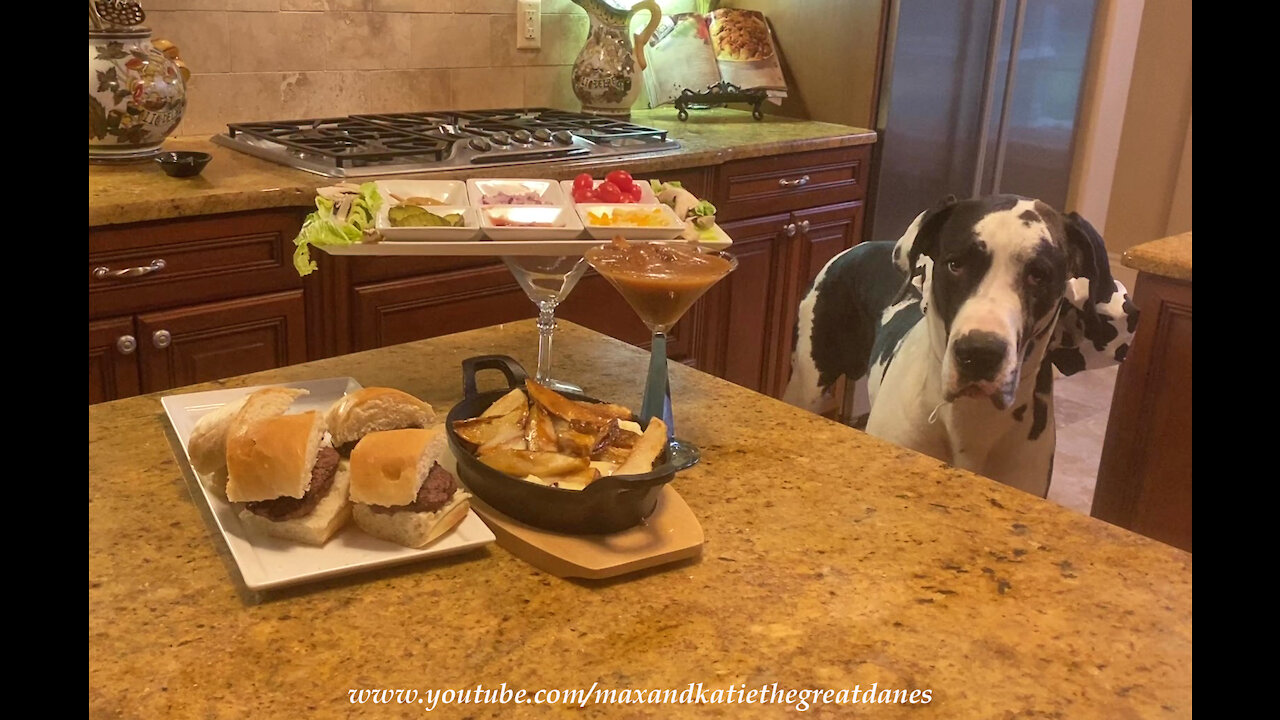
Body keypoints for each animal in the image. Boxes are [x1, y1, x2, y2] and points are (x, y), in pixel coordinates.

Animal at [783, 193, 1136, 497]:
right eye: (955, 264)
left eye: (1039, 275)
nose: (980, 353)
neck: (971, 420)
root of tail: (861, 246)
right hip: (808, 384)